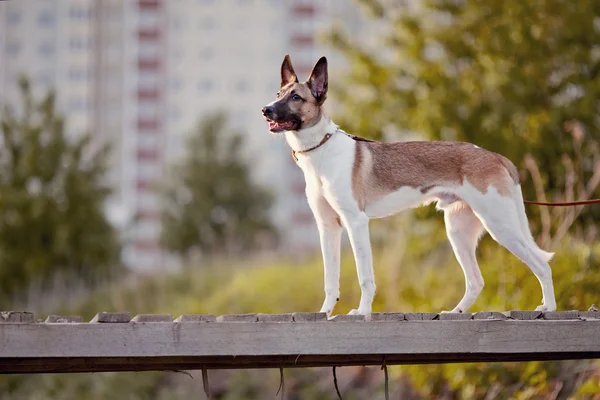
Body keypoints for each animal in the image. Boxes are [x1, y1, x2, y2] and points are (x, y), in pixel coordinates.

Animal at [260, 55, 556, 316]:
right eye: (278, 92)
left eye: (296, 97)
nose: (265, 110)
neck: (321, 150)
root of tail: (496, 156)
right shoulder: (328, 227)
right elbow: (330, 280)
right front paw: (325, 313)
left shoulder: (356, 222)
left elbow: (364, 276)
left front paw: (362, 312)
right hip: (459, 231)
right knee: (475, 281)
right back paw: (455, 312)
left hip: (500, 225)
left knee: (541, 264)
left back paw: (549, 308)